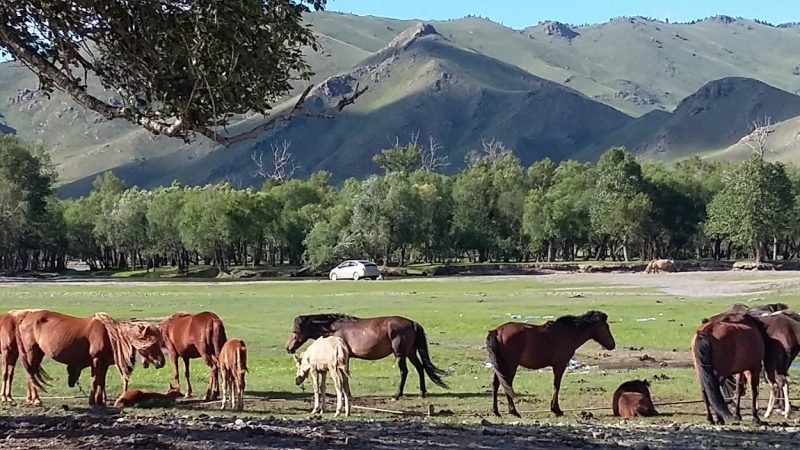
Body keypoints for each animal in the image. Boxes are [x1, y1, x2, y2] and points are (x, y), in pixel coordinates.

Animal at [15, 312, 166, 406]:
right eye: (153, 343)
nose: (162, 362)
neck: (109, 335)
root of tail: (24, 319)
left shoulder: (104, 364)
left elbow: (101, 382)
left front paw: (100, 401)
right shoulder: (96, 361)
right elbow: (95, 381)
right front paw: (92, 401)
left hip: (37, 354)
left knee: (31, 375)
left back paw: (31, 399)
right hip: (31, 353)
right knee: (30, 375)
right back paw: (36, 400)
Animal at [286, 312, 450, 400]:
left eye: (294, 331)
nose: (288, 348)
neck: (334, 329)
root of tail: (412, 323)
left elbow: (343, 376)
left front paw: (347, 394)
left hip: (400, 354)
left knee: (404, 372)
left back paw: (397, 395)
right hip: (411, 353)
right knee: (420, 369)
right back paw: (421, 393)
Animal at [484, 310, 616, 418]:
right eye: (605, 326)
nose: (612, 345)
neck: (568, 333)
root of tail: (497, 331)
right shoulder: (560, 365)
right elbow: (556, 385)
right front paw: (556, 409)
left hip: (500, 365)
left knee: (496, 384)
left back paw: (496, 411)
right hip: (510, 365)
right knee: (507, 384)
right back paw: (513, 411)